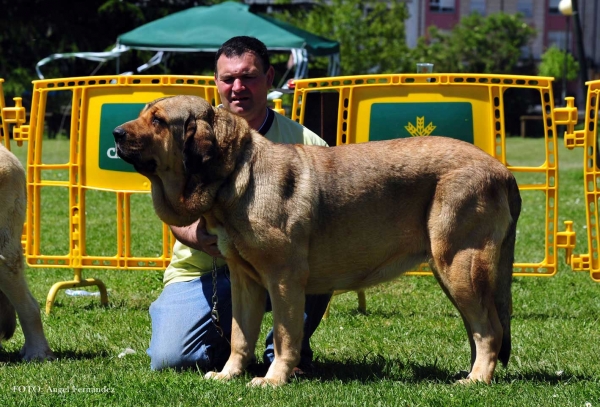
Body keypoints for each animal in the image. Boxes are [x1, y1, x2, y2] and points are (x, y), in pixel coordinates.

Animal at [112, 95, 520, 388]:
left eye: (158, 120)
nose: (116, 133)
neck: (237, 174)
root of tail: (502, 170)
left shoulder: (283, 279)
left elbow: (284, 335)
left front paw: (273, 380)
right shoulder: (245, 282)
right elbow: (240, 336)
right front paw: (229, 374)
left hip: (458, 264)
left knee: (489, 329)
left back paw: (476, 380)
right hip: (457, 273)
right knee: (481, 328)